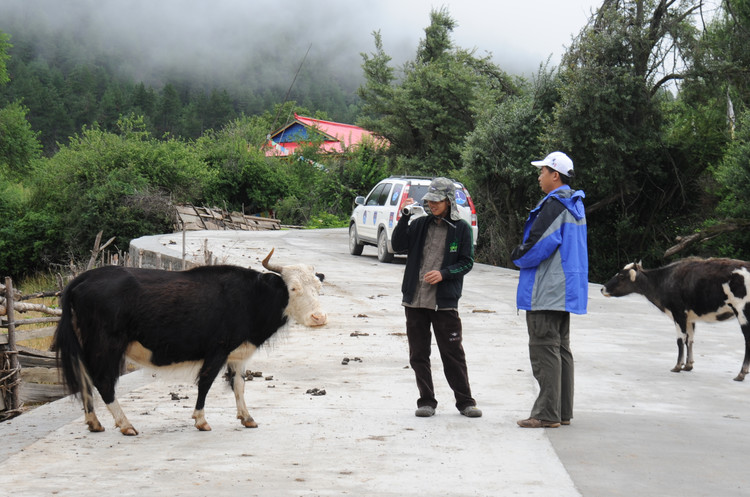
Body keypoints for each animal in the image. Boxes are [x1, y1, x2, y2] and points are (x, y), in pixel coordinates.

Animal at [54, 248, 330, 434]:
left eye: (318, 288)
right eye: (293, 288)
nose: (319, 317)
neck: (252, 297)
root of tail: (82, 279)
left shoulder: (238, 353)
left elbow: (239, 385)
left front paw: (247, 418)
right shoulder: (217, 350)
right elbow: (206, 383)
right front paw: (201, 420)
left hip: (86, 344)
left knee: (84, 378)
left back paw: (94, 423)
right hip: (106, 345)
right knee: (103, 381)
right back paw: (125, 424)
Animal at [604, 258, 750, 382]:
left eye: (621, 276)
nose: (602, 288)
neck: (662, 281)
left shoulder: (678, 313)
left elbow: (680, 340)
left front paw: (677, 366)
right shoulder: (689, 318)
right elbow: (689, 340)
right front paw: (688, 365)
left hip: (742, 312)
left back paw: (741, 373)